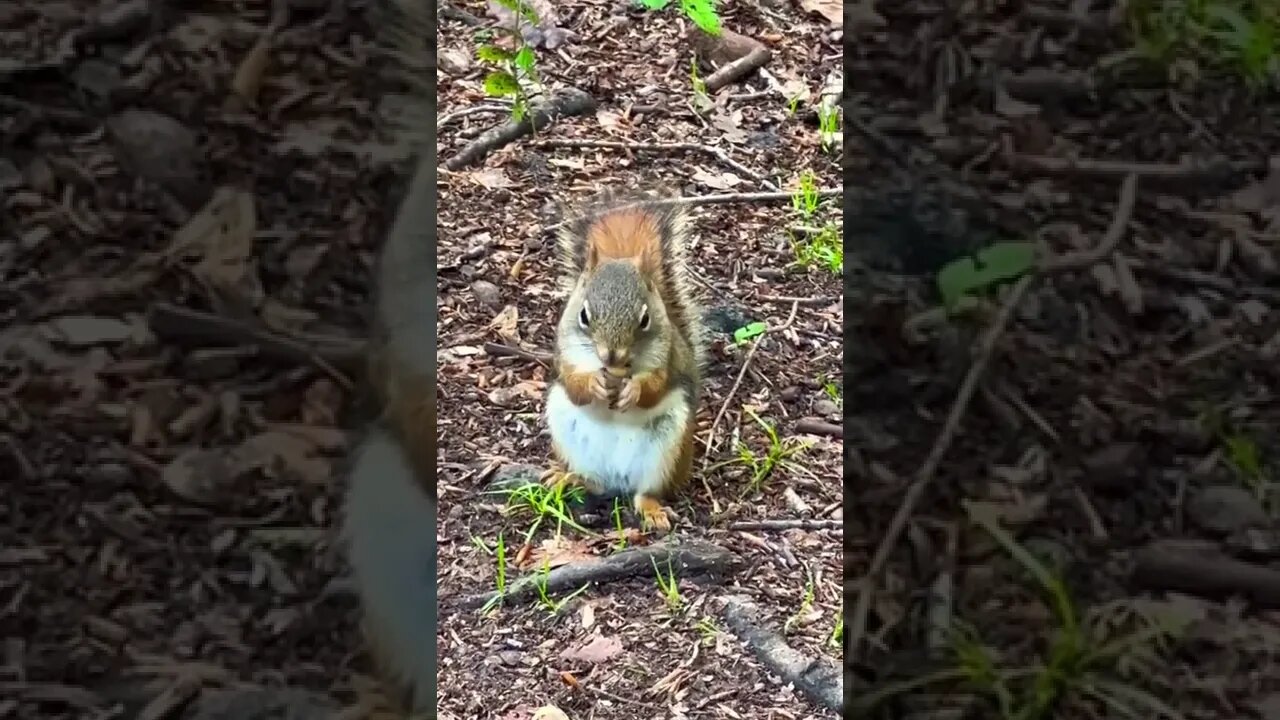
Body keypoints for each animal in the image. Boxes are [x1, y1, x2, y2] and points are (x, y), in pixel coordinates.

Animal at [542, 195, 707, 532]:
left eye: (644, 319)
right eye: (584, 315)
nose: (611, 356)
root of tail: (617, 478)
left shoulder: (667, 358)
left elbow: (655, 387)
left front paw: (633, 391)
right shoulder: (564, 355)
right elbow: (575, 386)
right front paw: (594, 383)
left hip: (667, 449)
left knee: (646, 491)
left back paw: (651, 509)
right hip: (566, 430)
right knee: (594, 482)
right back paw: (568, 477)